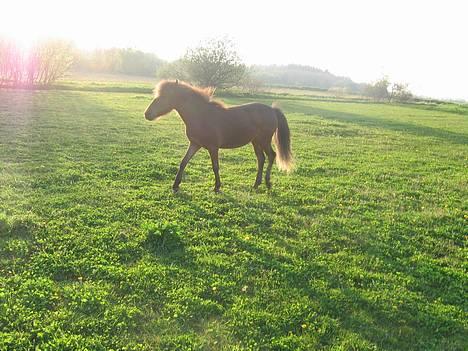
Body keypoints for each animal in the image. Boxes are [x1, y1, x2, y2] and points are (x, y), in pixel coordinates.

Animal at [144, 80, 294, 192]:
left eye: (165, 97)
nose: (147, 114)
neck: (201, 116)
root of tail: (272, 110)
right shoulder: (195, 144)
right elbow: (183, 162)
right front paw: (175, 185)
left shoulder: (213, 147)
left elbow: (215, 166)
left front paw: (217, 187)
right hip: (255, 142)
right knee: (261, 159)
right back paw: (256, 184)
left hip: (264, 141)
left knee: (271, 156)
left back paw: (267, 183)